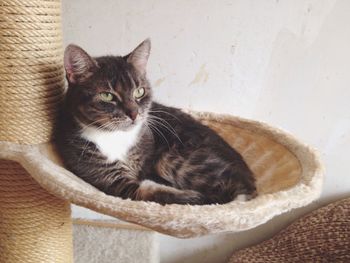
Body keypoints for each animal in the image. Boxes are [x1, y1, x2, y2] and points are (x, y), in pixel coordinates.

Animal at [55, 39, 258, 205]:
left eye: (139, 92)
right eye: (107, 96)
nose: (134, 113)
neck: (115, 137)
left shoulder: (150, 158)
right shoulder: (109, 178)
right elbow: (152, 192)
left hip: (176, 158)